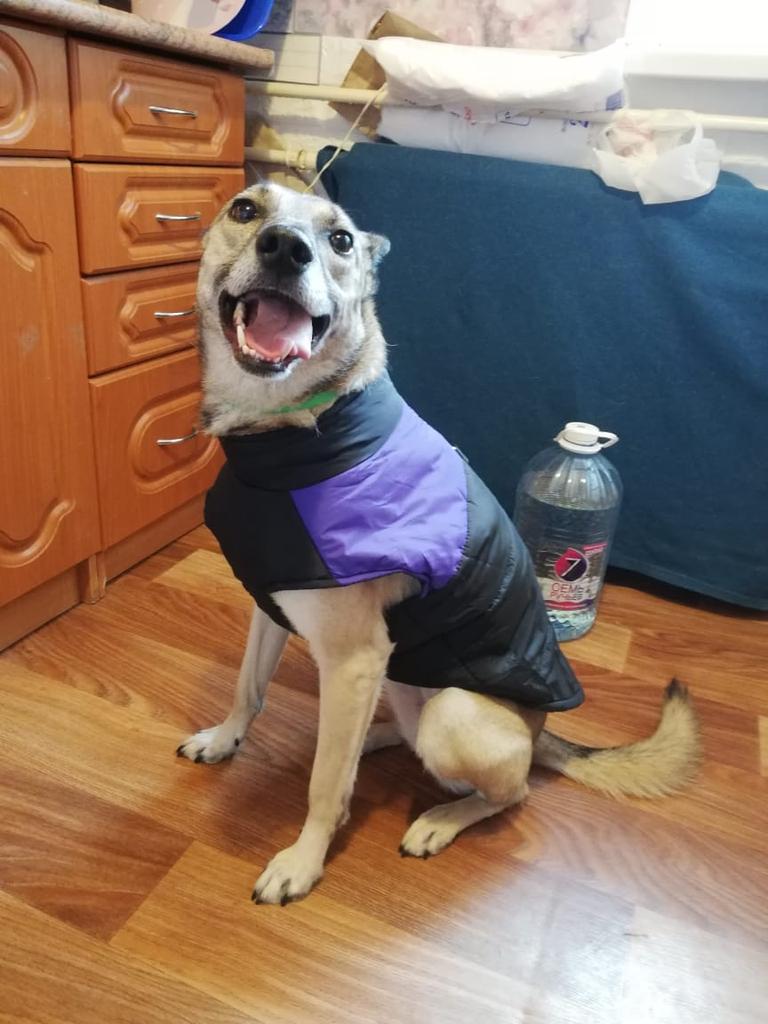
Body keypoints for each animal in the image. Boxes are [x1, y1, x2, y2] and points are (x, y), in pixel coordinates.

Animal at [178, 182, 700, 905]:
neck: (296, 434)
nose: (286, 249)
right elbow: (246, 690)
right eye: (246, 210)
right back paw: (373, 739)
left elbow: (323, 788)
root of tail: (542, 733)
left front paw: (304, 860)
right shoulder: (273, 605)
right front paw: (226, 738)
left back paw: (440, 819)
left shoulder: (355, 657)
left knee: (512, 792)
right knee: (384, 737)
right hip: (401, 679)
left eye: (340, 240)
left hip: (451, 713)